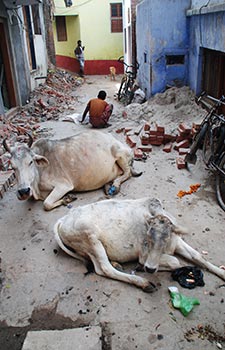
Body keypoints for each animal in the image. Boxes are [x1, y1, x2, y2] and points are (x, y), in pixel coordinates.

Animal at [3, 131, 141, 211]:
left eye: (30, 162)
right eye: (13, 167)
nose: (23, 191)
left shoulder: (64, 185)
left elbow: (46, 204)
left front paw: (67, 198)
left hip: (120, 154)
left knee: (127, 173)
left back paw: (115, 186)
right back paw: (108, 187)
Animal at [54, 197, 225, 292]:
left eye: (165, 239)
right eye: (148, 239)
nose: (149, 269)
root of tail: (63, 219)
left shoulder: (177, 241)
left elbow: (198, 256)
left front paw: (221, 272)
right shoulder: (144, 256)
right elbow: (175, 261)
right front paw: (145, 268)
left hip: (89, 247)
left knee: (99, 267)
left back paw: (117, 264)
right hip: (91, 238)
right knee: (104, 269)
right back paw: (143, 282)